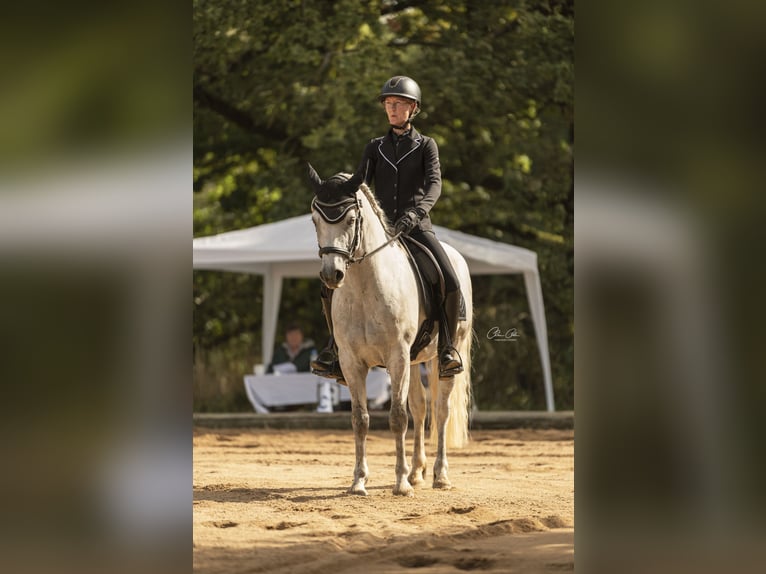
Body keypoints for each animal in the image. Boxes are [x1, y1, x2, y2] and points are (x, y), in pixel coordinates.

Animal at [308, 164, 472, 498]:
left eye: (351, 219)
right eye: (315, 219)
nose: (332, 274)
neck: (364, 286)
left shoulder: (397, 356)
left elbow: (397, 418)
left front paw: (400, 483)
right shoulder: (352, 362)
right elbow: (360, 419)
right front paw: (359, 481)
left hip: (440, 357)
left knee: (441, 411)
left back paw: (440, 475)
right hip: (414, 360)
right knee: (420, 408)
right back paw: (417, 471)